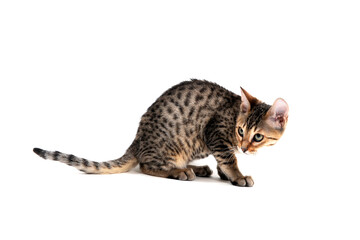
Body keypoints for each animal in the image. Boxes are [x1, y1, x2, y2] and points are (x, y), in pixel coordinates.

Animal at [33, 79, 286, 187]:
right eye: (241, 131)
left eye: (257, 136)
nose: (244, 147)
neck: (234, 114)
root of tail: (136, 141)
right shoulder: (215, 133)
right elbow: (229, 159)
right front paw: (237, 176)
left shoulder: (219, 142)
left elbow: (223, 160)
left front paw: (225, 174)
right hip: (171, 146)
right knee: (147, 166)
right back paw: (181, 172)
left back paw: (197, 168)